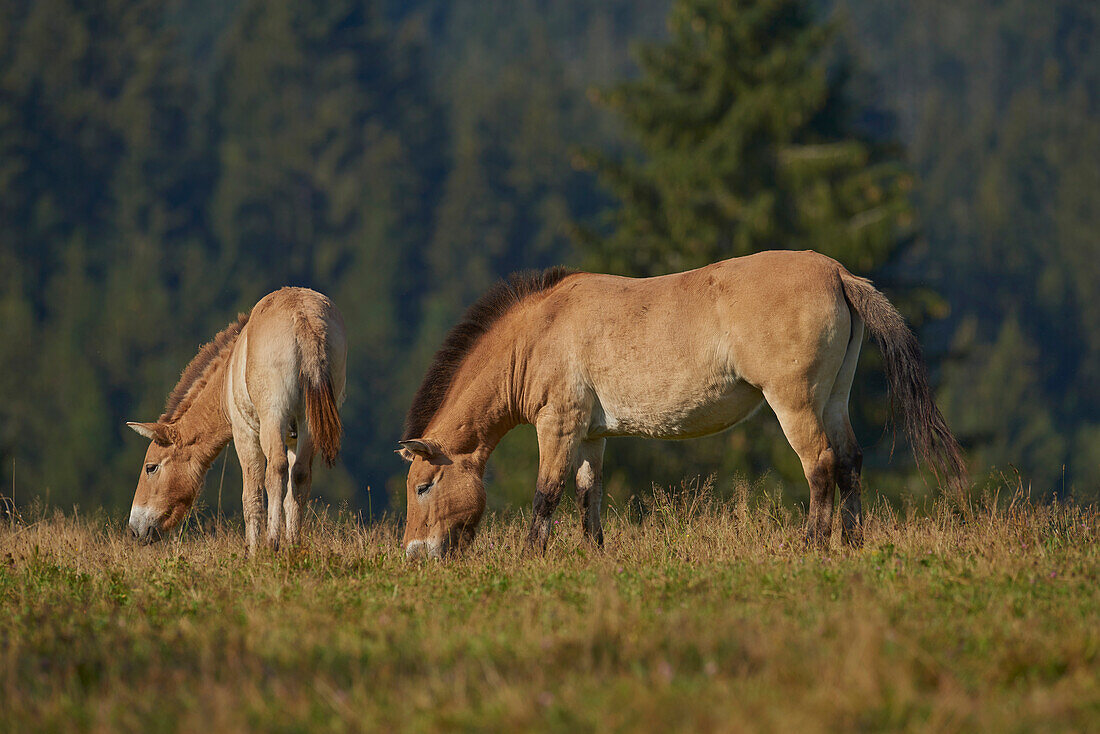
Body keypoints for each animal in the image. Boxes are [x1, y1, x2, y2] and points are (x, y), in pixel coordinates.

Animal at [123, 286, 343, 550]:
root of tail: (302, 316)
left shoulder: (245, 434)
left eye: (151, 467)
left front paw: (254, 550)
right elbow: (292, 491)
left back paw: (272, 542)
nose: (134, 530)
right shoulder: (293, 437)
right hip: (308, 423)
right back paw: (292, 546)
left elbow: (252, 497)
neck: (228, 373)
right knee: (299, 473)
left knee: (276, 471)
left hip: (273, 418)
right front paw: (291, 543)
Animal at [400, 249, 968, 559]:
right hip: (833, 398)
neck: (540, 332)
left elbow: (547, 495)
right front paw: (593, 557)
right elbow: (588, 497)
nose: (414, 554)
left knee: (822, 466)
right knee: (850, 462)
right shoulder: (590, 435)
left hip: (796, 402)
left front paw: (530, 558)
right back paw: (850, 545)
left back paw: (812, 545)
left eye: (424, 486)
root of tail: (837, 274)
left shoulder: (558, 426)